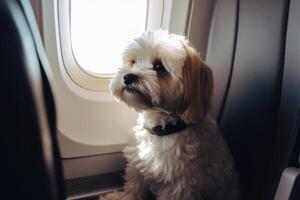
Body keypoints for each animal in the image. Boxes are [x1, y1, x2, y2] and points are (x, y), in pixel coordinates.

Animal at [102, 30, 239, 200]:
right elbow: (134, 186)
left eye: (159, 66)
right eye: (133, 62)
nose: (128, 76)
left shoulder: (180, 185)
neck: (163, 128)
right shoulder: (137, 165)